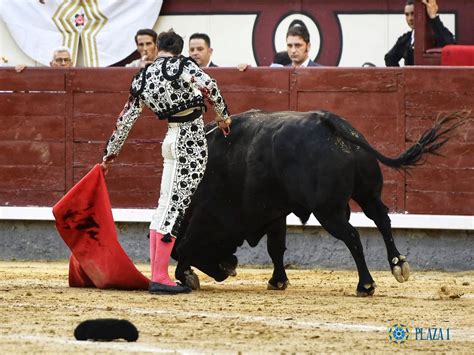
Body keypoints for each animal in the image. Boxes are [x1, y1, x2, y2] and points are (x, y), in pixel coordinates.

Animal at [171, 110, 466, 296]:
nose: (229, 269)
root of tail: (333, 124)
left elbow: (274, 247)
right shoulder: (275, 213)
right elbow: (276, 248)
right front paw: (278, 281)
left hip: (328, 211)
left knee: (352, 236)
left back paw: (365, 285)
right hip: (367, 194)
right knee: (382, 219)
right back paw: (397, 264)